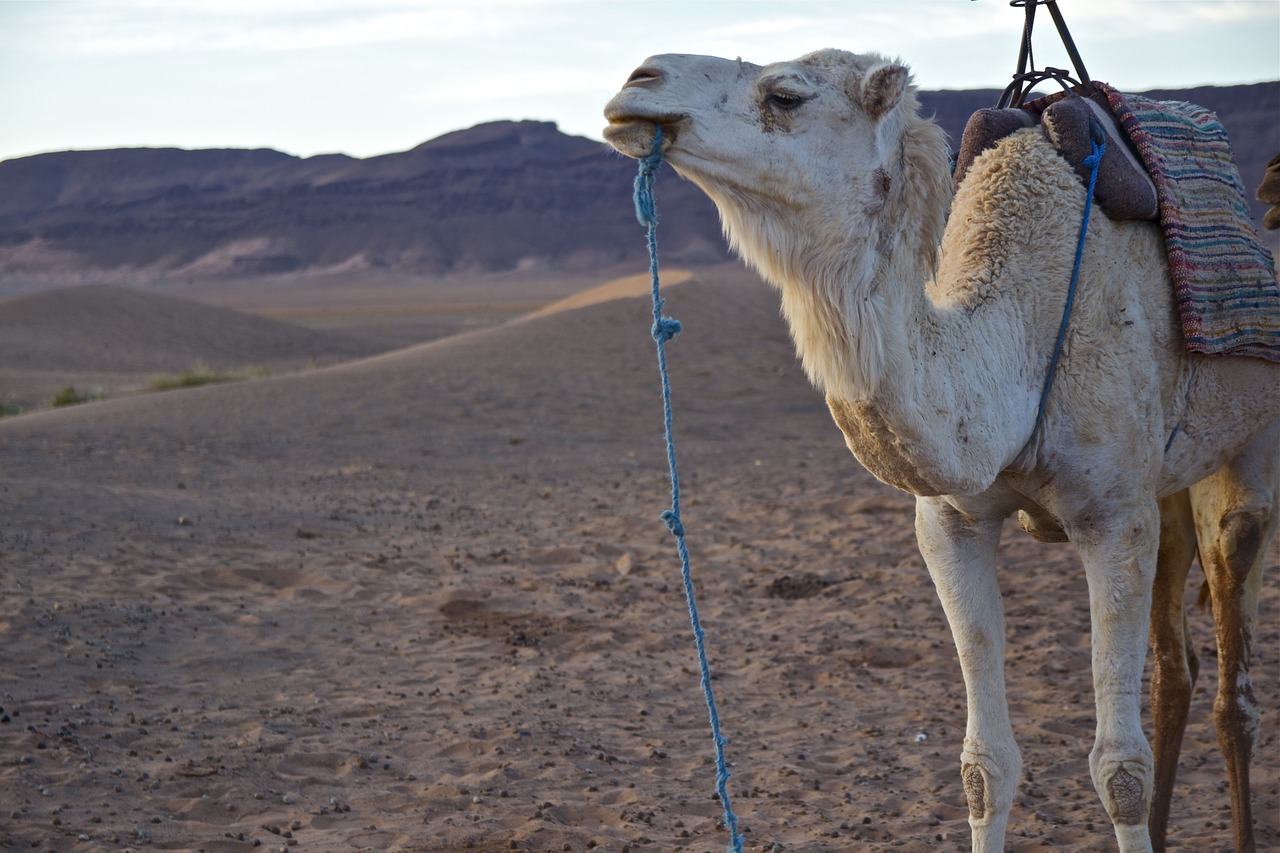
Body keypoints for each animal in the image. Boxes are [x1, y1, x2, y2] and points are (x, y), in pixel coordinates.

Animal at [604, 51, 1274, 850]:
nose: (638, 80)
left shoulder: (1114, 518)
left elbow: (1120, 770)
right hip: (1170, 488)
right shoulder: (951, 521)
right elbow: (985, 765)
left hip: (1249, 444)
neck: (1019, 339)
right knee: (1179, 665)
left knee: (1234, 652)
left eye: (786, 94)